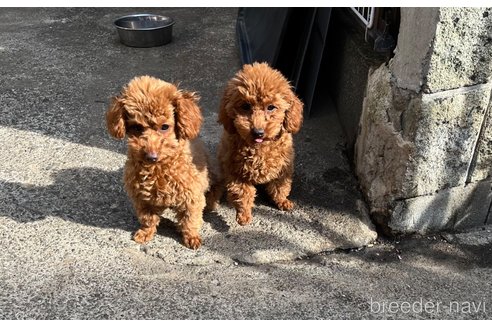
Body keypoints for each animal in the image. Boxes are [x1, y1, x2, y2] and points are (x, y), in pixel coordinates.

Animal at [105, 75, 217, 249]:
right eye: (137, 127)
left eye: (164, 127)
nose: (151, 156)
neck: (158, 168)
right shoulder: (142, 198)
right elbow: (148, 219)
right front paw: (145, 233)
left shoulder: (192, 196)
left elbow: (190, 219)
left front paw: (191, 237)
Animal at [217, 62, 302, 226]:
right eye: (245, 106)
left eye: (271, 107)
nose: (258, 132)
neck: (259, 149)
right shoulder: (236, 172)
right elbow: (243, 193)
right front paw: (243, 215)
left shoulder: (283, 169)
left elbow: (280, 187)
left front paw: (282, 201)